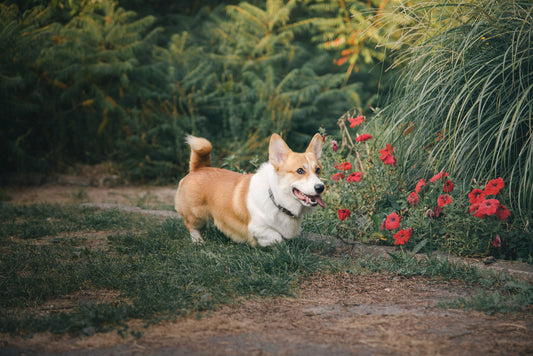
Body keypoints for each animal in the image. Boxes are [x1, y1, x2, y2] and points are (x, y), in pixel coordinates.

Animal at [175, 134, 324, 248]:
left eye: (318, 170)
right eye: (300, 171)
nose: (320, 187)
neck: (276, 199)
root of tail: (198, 168)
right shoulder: (257, 227)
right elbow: (276, 237)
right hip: (196, 215)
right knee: (191, 226)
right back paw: (198, 242)